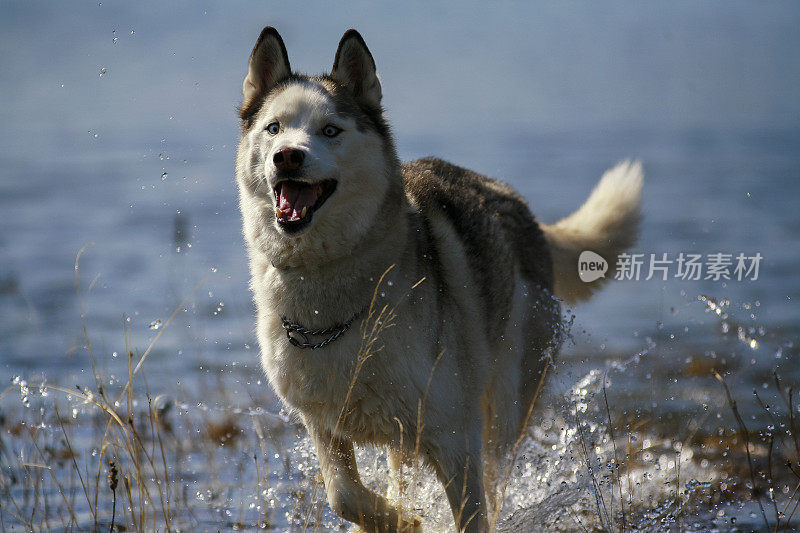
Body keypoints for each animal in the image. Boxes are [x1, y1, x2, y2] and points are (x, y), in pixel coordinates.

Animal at [236, 27, 644, 528]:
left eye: (330, 130)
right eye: (274, 127)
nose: (288, 157)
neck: (329, 298)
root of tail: (514, 198)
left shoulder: (454, 437)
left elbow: (472, 513)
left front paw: (409, 520)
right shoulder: (324, 422)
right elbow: (343, 496)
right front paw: (401, 521)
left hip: (503, 407)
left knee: (497, 473)